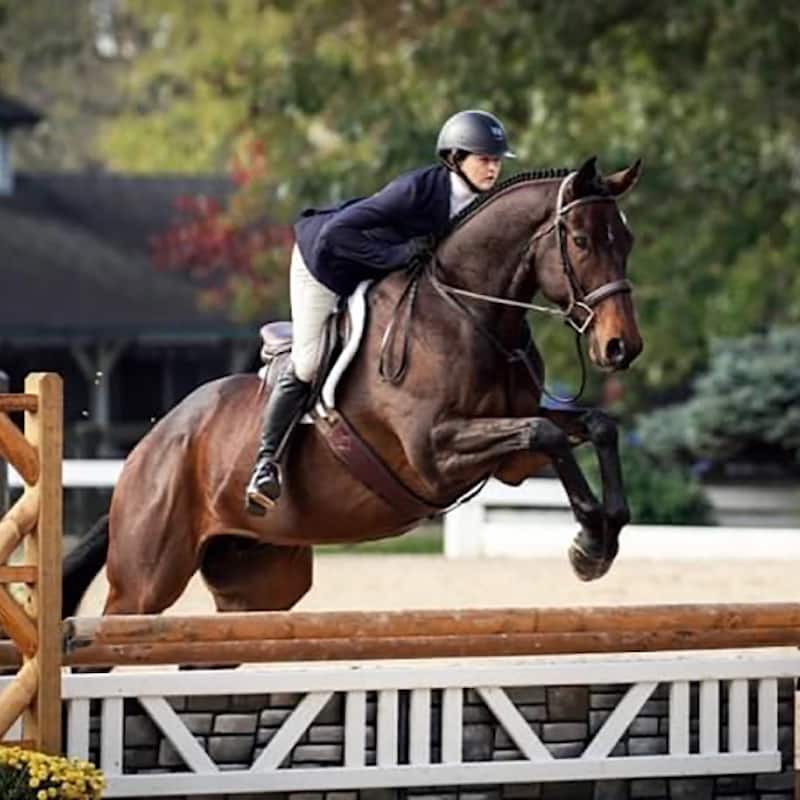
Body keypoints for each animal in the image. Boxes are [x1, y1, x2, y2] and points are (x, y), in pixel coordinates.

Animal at [65, 156, 648, 620]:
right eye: (581, 241)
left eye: (627, 241)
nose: (622, 347)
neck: (469, 314)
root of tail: (149, 449)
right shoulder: (434, 453)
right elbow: (544, 434)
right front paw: (589, 541)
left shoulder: (509, 462)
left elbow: (593, 426)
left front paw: (606, 532)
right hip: (144, 583)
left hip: (258, 583)